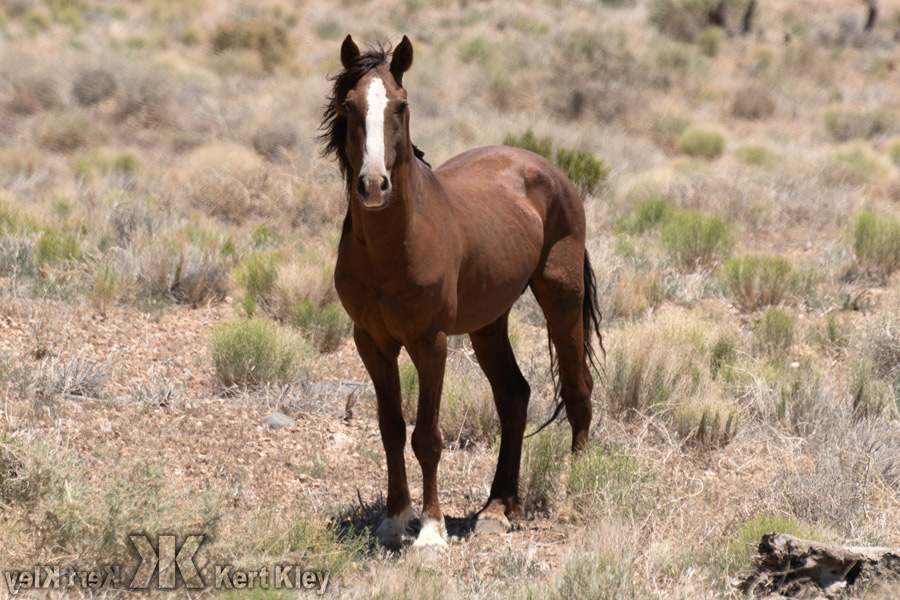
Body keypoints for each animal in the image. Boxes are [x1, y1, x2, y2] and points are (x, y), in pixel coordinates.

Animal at [319, 35, 602, 552]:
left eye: (401, 105)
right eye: (349, 106)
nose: (373, 185)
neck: (393, 246)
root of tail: (546, 166)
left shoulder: (430, 343)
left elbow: (427, 436)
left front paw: (431, 533)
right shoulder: (372, 342)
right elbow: (392, 429)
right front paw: (394, 521)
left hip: (561, 299)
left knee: (578, 388)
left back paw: (574, 486)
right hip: (489, 323)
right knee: (514, 395)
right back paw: (498, 507)